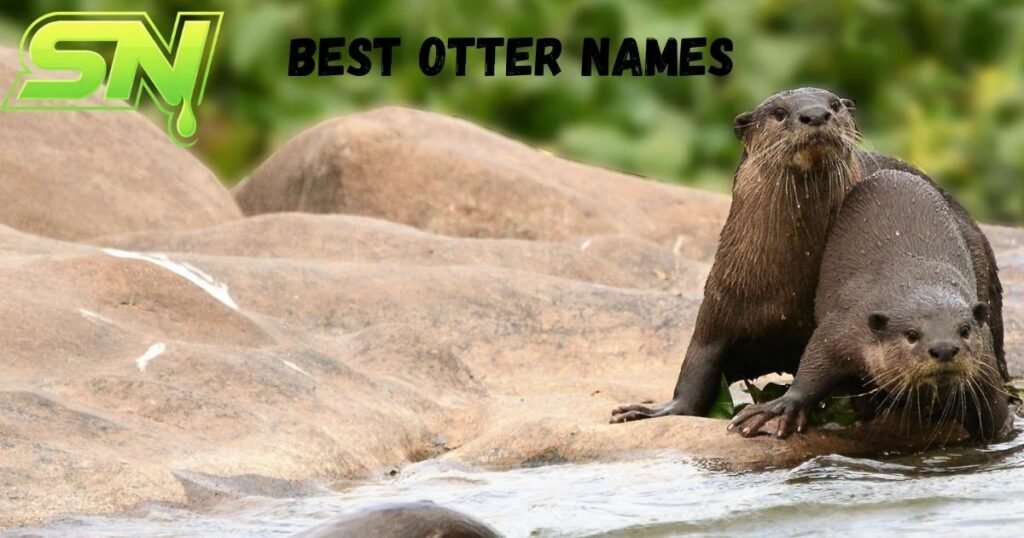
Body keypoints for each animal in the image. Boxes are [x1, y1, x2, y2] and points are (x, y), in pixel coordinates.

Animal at [728, 170, 1009, 440]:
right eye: (912, 335)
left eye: (964, 330)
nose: (944, 348)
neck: (916, 279)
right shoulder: (844, 324)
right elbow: (814, 363)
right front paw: (784, 406)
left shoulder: (985, 357)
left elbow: (995, 413)